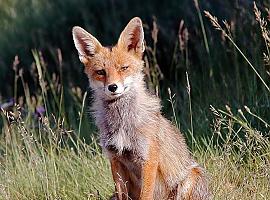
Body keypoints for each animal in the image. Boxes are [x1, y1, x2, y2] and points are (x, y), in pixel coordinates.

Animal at [72, 17, 211, 200]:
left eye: (123, 68)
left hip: (190, 178)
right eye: (101, 72)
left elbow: (146, 194)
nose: (113, 87)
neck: (122, 123)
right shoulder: (115, 159)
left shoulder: (148, 160)